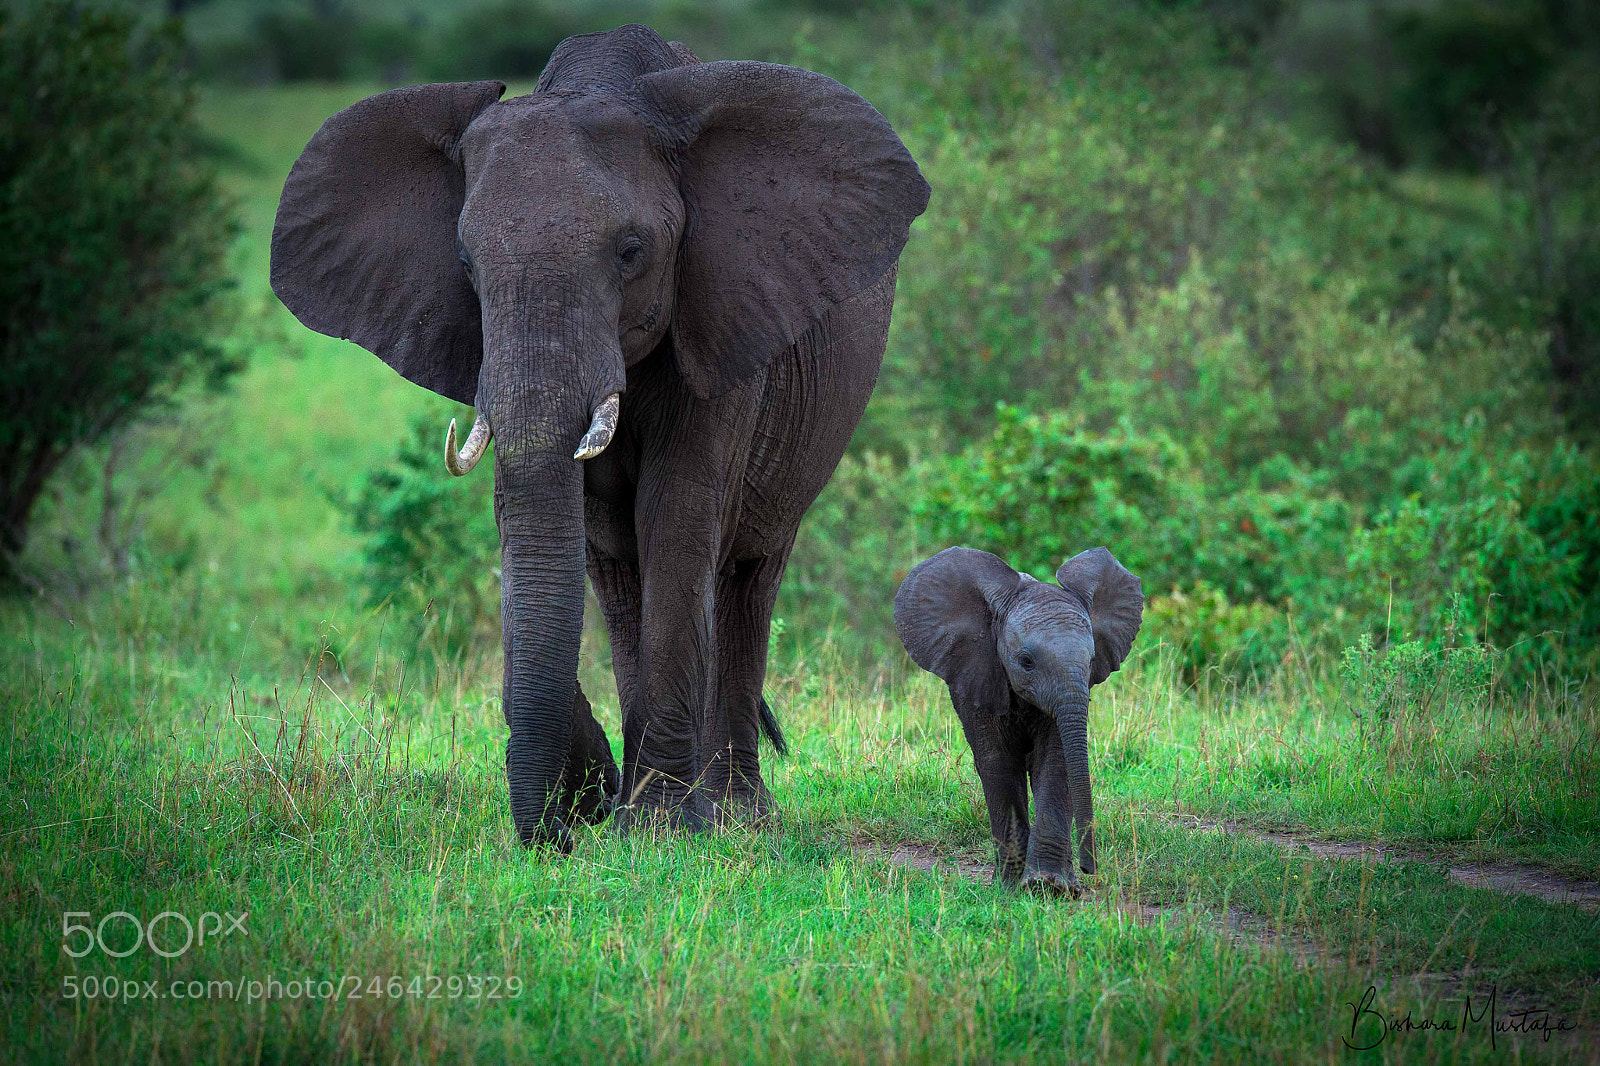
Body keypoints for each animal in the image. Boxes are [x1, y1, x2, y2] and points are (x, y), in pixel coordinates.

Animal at [270, 24, 930, 850]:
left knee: (749, 576)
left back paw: (735, 813)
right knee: (622, 579)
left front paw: (660, 829)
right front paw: (630, 813)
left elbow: (677, 516)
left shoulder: (719, 312)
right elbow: (578, 526)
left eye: (631, 251)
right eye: (465, 263)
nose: (560, 825)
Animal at [894, 546, 1143, 896]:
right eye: (1026, 662)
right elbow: (998, 762)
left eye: (1092, 659)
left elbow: (1056, 761)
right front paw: (1012, 888)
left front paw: (1049, 886)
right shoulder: (979, 674)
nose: (1089, 868)